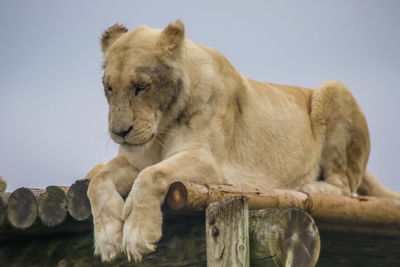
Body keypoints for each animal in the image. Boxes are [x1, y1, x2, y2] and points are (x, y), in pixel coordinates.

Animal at [86, 19, 396, 262]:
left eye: (141, 87)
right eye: (109, 88)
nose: (119, 132)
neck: (160, 129)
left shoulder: (211, 162)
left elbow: (153, 174)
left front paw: (137, 235)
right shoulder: (133, 159)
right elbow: (98, 182)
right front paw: (108, 239)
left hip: (333, 89)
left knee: (346, 186)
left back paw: (310, 186)